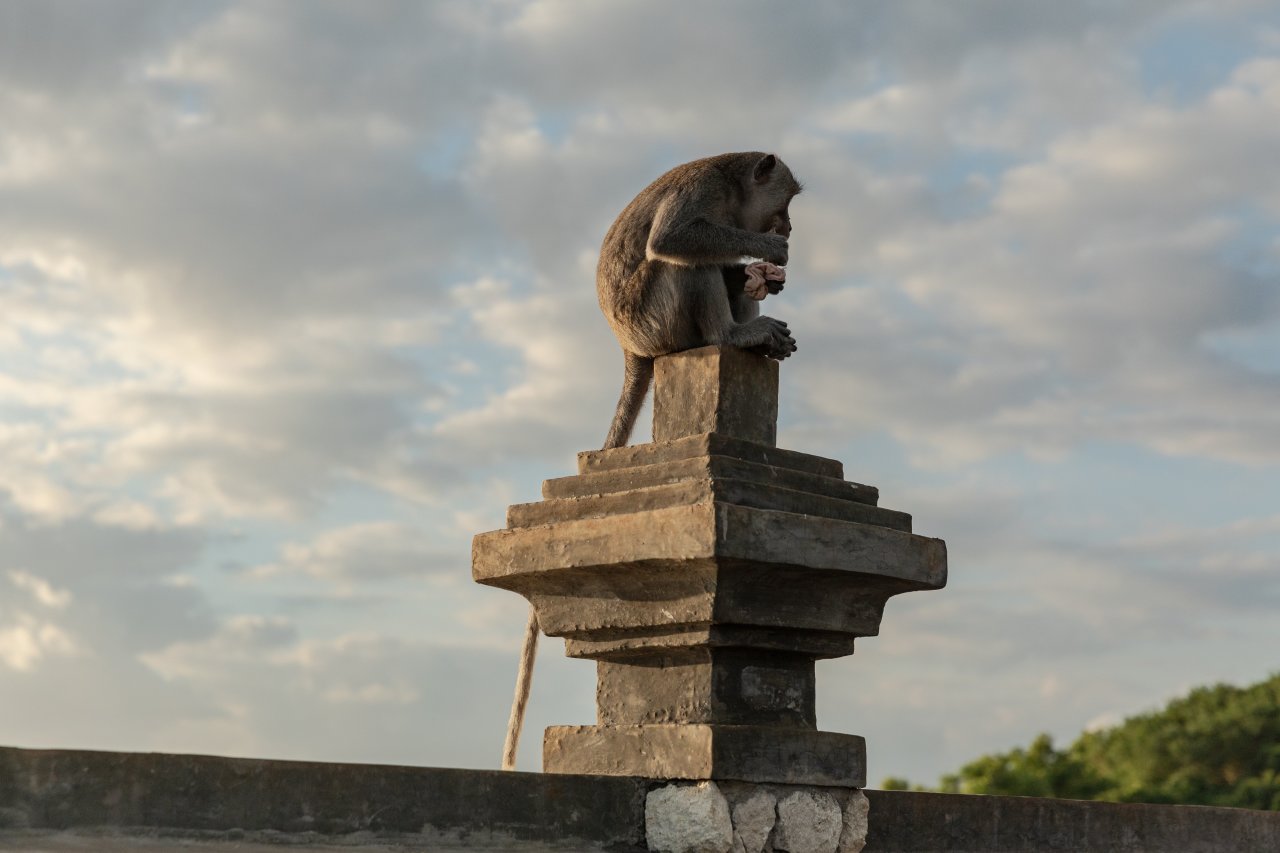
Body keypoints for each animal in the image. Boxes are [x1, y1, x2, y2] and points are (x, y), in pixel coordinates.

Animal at [597, 151, 802, 450]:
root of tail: (628, 345)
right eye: (786, 201)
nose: (789, 226)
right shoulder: (703, 187)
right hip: (650, 321)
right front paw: (768, 246)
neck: (733, 193)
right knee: (684, 263)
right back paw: (729, 334)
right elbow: (670, 238)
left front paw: (761, 276)